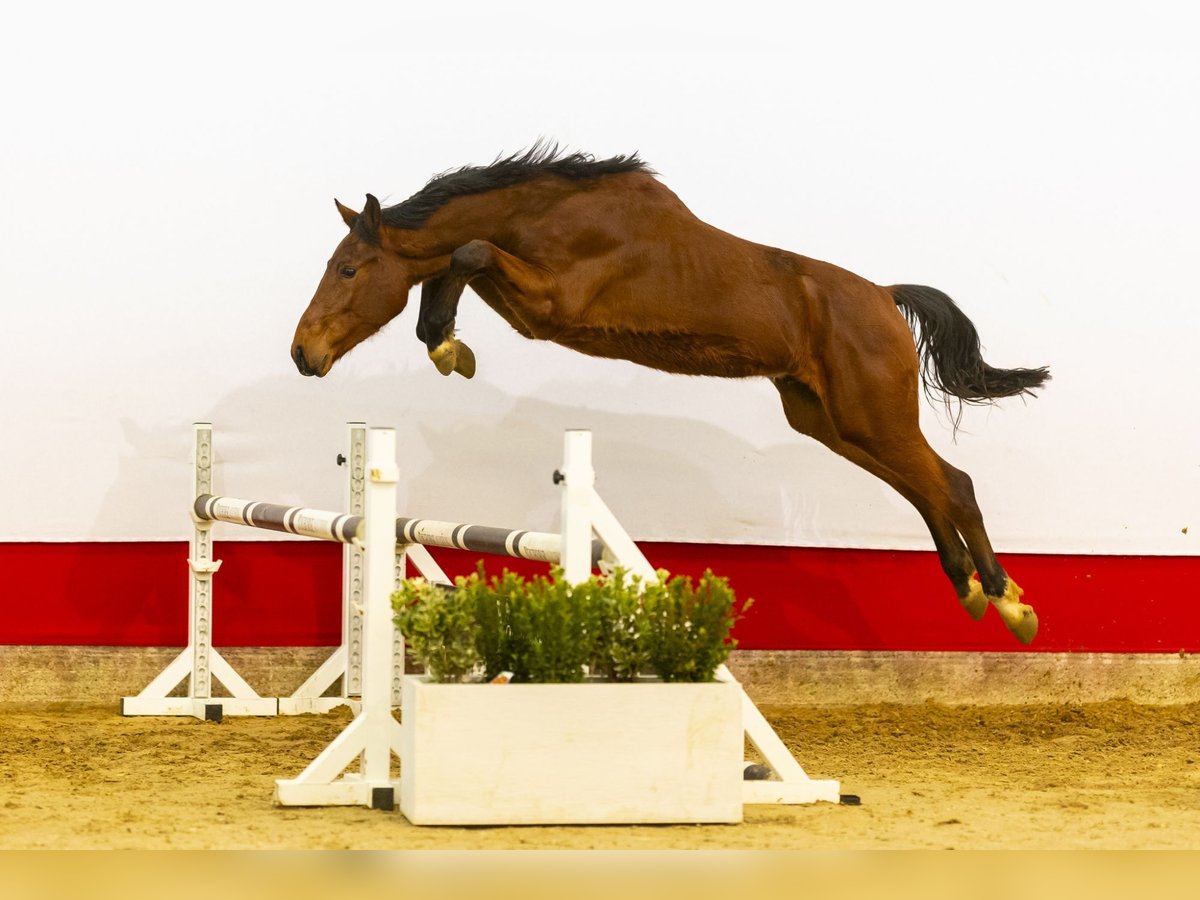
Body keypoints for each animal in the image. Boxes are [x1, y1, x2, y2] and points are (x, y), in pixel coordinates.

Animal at [290, 144, 1051, 643]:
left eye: (350, 269)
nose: (303, 353)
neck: (548, 214)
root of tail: (887, 298)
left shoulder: (552, 303)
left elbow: (467, 251)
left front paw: (445, 343)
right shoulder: (530, 304)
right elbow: (459, 260)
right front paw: (446, 341)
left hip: (871, 416)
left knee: (953, 485)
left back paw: (1009, 605)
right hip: (833, 424)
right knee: (928, 490)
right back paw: (974, 590)